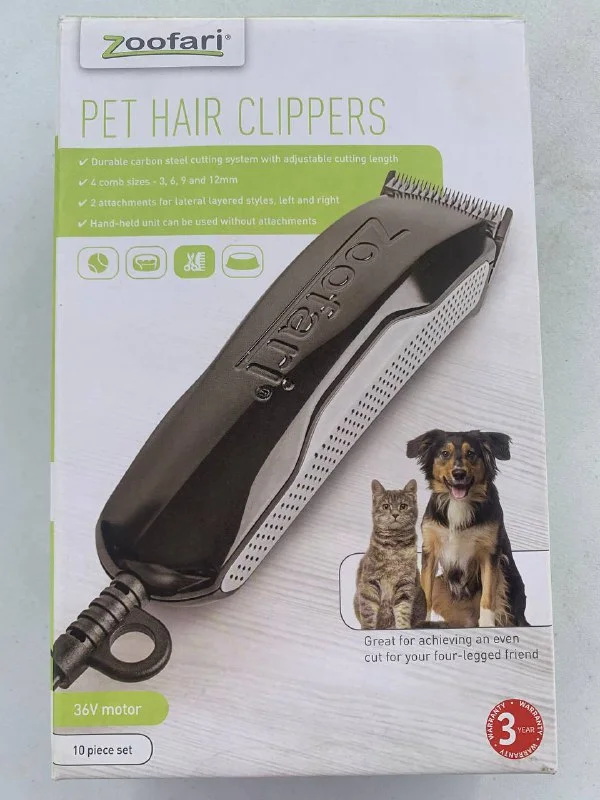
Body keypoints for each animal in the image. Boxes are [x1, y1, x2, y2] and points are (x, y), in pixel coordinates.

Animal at [354, 479, 427, 629]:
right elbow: (368, 612)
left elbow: (403, 610)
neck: (394, 546)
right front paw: (367, 629)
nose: (395, 514)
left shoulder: (405, 583)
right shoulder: (370, 581)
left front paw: (403, 627)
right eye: (386, 506)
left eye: (403, 506)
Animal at [406, 429, 528, 628]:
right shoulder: (430, 549)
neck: (458, 504)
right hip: (442, 584)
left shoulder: (490, 553)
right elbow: (425, 593)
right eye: (444, 453)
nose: (459, 473)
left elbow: (488, 596)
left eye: (471, 453)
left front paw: (487, 625)